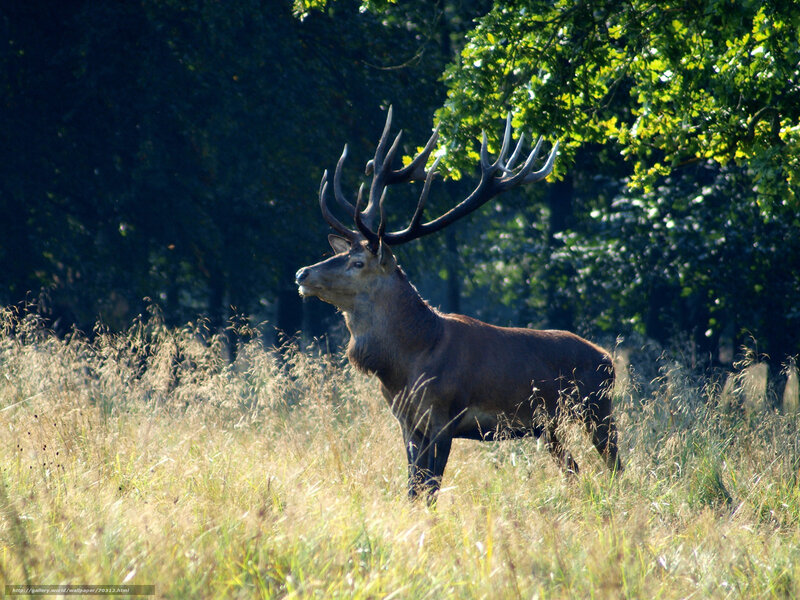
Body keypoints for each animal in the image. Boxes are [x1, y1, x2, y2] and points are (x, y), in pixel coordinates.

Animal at [295, 107, 622, 501]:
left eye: (358, 263)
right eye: (341, 254)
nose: (301, 273)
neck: (406, 363)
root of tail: (608, 359)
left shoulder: (444, 416)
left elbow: (430, 489)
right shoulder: (406, 422)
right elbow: (413, 489)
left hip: (597, 408)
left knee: (616, 465)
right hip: (549, 426)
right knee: (574, 468)